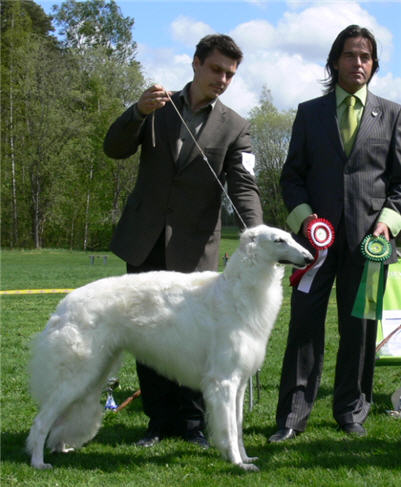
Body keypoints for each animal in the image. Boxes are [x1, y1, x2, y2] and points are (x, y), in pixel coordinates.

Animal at [26, 226, 310, 472]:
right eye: (279, 240)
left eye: (290, 236)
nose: (308, 257)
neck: (237, 291)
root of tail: (64, 305)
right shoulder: (223, 381)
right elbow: (229, 429)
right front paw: (238, 463)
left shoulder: (238, 383)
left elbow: (238, 428)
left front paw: (245, 457)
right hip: (79, 375)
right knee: (41, 422)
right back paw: (38, 462)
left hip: (94, 373)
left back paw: (61, 448)